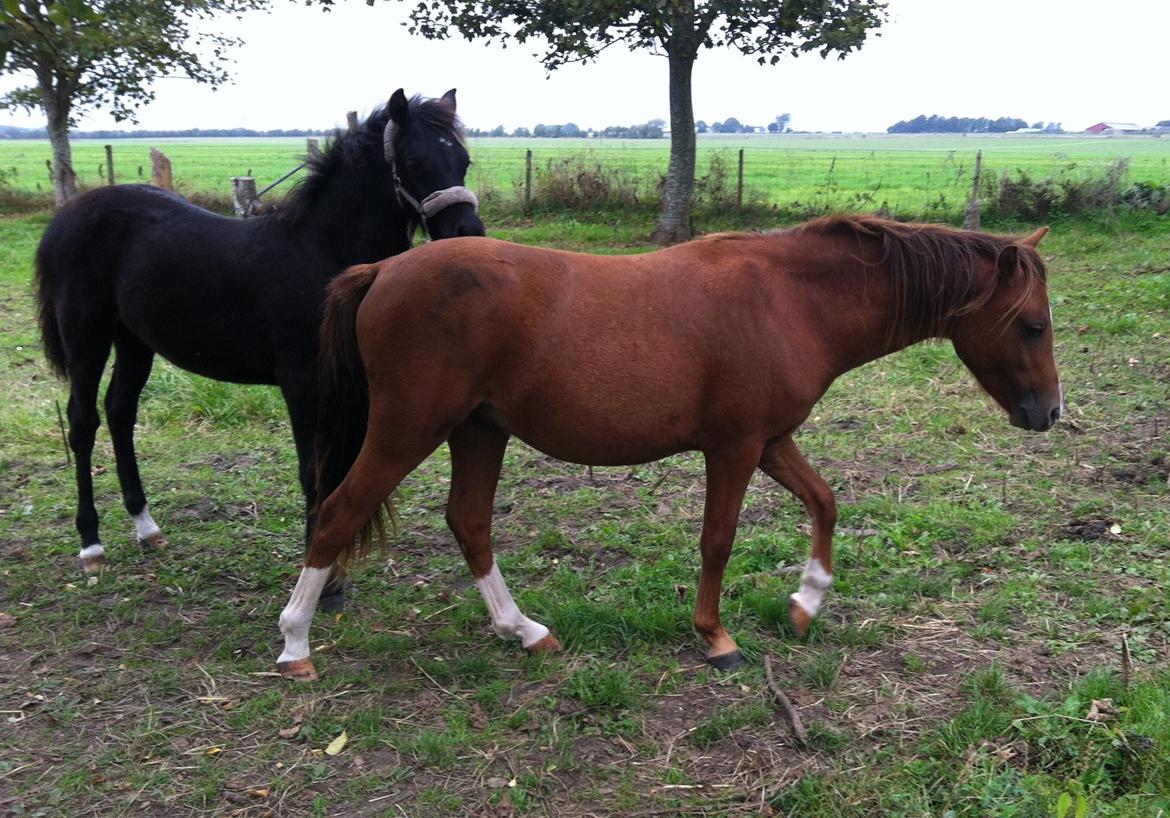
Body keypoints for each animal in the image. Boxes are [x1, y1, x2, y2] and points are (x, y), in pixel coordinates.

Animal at [35, 88, 484, 607]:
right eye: (413, 161)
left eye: (463, 161)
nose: (469, 233)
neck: (321, 253)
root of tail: (68, 213)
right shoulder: (304, 387)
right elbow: (314, 473)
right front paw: (323, 584)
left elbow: (343, 475)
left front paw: (334, 574)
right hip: (86, 338)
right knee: (83, 422)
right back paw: (91, 545)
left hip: (134, 342)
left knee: (120, 412)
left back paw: (147, 528)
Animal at [275, 216, 1062, 680]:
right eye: (1031, 326)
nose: (1049, 413)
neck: (791, 300)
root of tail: (382, 270)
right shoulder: (735, 447)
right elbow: (718, 540)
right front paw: (717, 638)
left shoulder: (772, 441)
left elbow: (826, 502)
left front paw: (806, 602)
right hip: (410, 429)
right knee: (338, 514)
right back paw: (295, 645)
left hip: (478, 429)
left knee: (468, 521)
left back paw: (523, 631)